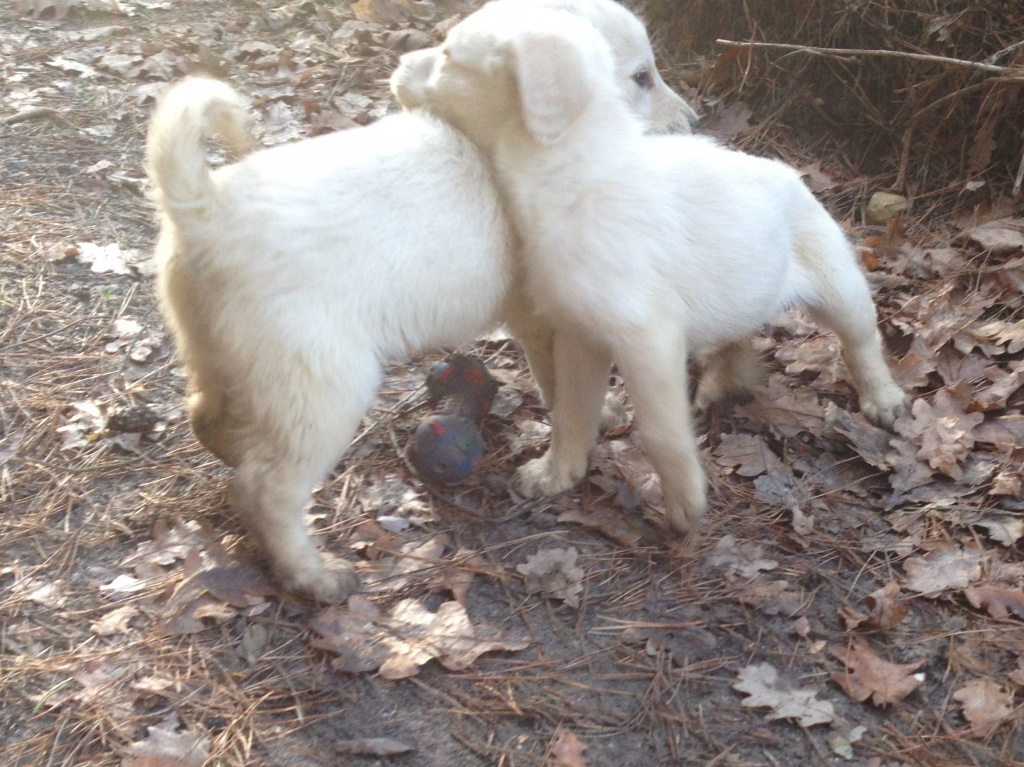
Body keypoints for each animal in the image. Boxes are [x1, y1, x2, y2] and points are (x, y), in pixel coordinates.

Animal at [144, 0, 696, 606]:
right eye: (641, 77)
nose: (693, 124)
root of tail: (204, 207)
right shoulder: (554, 316)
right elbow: (570, 393)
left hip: (219, 357)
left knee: (204, 414)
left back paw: (234, 454)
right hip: (325, 387)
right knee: (266, 490)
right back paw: (314, 576)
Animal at [393, 2, 913, 536]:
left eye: (449, 54)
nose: (400, 63)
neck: (573, 180)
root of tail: (788, 171)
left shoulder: (647, 335)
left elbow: (661, 430)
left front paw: (685, 504)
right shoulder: (579, 335)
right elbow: (571, 412)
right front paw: (558, 472)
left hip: (838, 285)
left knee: (862, 341)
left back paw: (883, 398)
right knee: (737, 335)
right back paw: (725, 377)